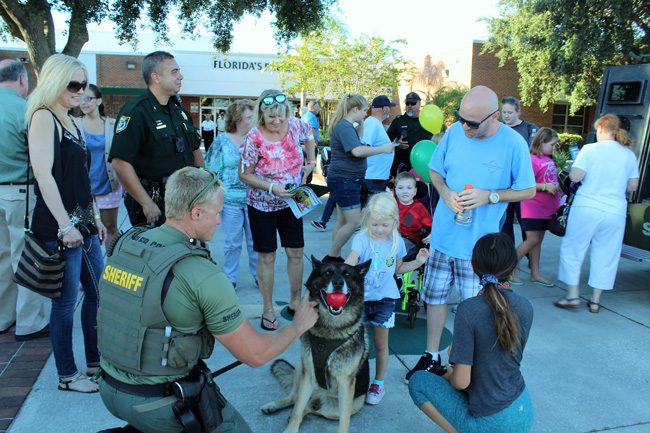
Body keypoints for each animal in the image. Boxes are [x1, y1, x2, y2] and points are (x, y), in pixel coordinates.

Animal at [258, 256, 370, 432]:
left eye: (347, 275)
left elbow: (344, 422)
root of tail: (318, 396)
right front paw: (290, 429)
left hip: (339, 408)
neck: (331, 330)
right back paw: (274, 405)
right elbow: (297, 411)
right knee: (295, 400)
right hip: (301, 367)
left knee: (311, 408)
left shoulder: (345, 384)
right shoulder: (308, 374)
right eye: (328, 273)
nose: (338, 283)